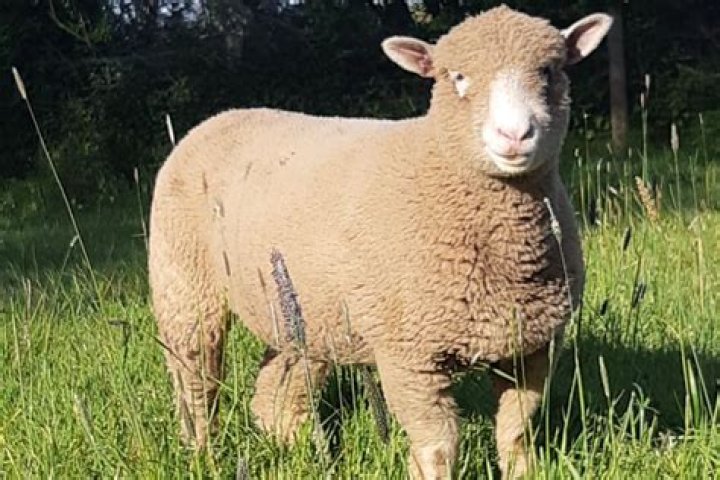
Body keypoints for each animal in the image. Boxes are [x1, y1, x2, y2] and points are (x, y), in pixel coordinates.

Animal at [148, 6, 611, 478]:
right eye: (457, 76)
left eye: (548, 71)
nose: (514, 135)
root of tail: (219, 117)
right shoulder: (409, 355)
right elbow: (438, 446)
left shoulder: (533, 346)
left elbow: (516, 432)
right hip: (184, 285)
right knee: (194, 379)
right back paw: (204, 453)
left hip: (299, 309)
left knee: (278, 386)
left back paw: (296, 451)